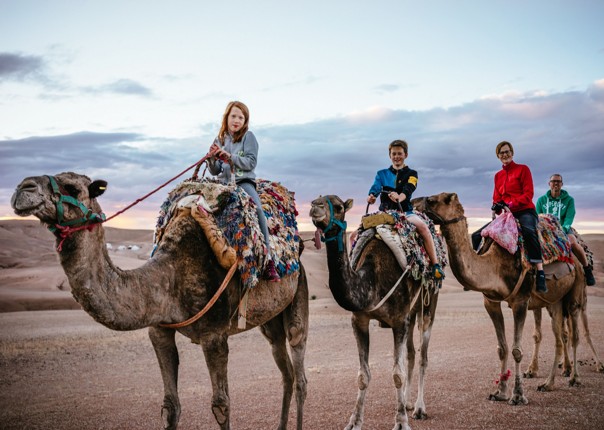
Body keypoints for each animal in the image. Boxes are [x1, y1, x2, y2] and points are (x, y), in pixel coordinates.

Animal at [11, 172, 310, 430]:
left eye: (72, 188)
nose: (23, 188)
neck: (170, 275)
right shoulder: (159, 331)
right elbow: (170, 406)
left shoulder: (214, 335)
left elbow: (221, 405)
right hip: (270, 320)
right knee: (284, 368)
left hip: (299, 291)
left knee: (300, 369)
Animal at [312, 196, 438, 430]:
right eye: (318, 198)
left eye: (339, 206)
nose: (315, 207)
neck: (371, 280)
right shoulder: (360, 320)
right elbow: (363, 375)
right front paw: (354, 422)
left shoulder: (398, 321)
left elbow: (397, 374)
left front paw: (401, 422)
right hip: (411, 311)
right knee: (411, 353)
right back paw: (407, 402)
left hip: (429, 302)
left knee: (423, 355)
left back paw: (419, 408)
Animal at [416, 193, 584, 404]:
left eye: (432, 200)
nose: (412, 203)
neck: (493, 264)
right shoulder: (491, 302)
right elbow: (502, 348)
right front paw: (500, 392)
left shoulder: (521, 301)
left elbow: (516, 350)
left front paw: (518, 395)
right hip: (554, 302)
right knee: (560, 338)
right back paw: (548, 384)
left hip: (574, 293)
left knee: (574, 334)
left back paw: (574, 379)